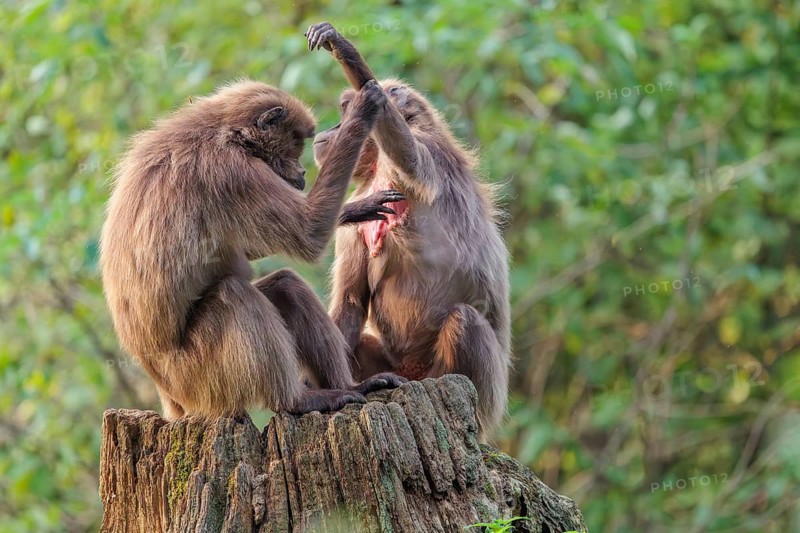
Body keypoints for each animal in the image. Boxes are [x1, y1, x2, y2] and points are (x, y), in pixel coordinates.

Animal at [99, 78, 405, 421]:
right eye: (296, 142)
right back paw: (297, 401)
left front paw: (356, 209)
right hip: (196, 377)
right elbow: (309, 234)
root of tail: (166, 393)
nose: (301, 173)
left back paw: (351, 386)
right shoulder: (234, 172)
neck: (221, 133)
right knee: (235, 294)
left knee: (285, 285)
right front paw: (362, 112)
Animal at [306, 23, 511, 436]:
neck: (378, 171)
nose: (332, 128)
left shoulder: (431, 153)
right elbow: (351, 301)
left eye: (345, 111)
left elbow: (408, 154)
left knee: (464, 320)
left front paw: (346, 52)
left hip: (484, 395)